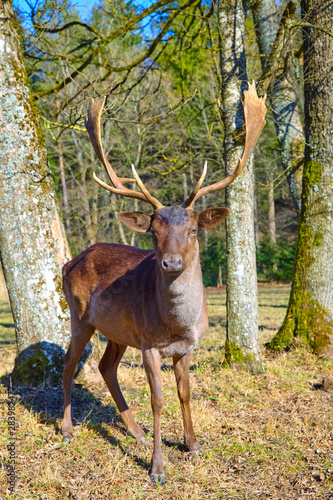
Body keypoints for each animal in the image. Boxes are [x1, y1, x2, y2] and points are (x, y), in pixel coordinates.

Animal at [61, 82, 266, 484]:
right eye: (153, 231)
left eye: (193, 230)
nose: (171, 263)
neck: (176, 325)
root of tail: (69, 261)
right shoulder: (150, 345)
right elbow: (158, 399)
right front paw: (157, 469)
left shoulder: (187, 347)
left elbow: (185, 393)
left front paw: (193, 444)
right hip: (81, 317)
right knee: (67, 364)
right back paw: (66, 428)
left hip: (119, 332)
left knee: (105, 367)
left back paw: (135, 430)